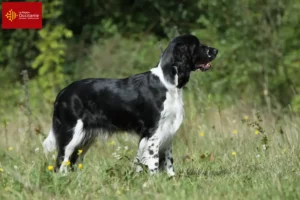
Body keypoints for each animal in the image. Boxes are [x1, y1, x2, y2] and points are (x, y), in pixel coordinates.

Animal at [42, 35, 218, 176]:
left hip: (85, 138)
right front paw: (154, 180)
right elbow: (153, 159)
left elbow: (168, 160)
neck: (167, 83)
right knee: (61, 161)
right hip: (71, 134)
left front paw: (171, 178)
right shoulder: (153, 131)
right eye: (198, 45)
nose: (216, 50)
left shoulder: (167, 130)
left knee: (71, 161)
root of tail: (63, 92)